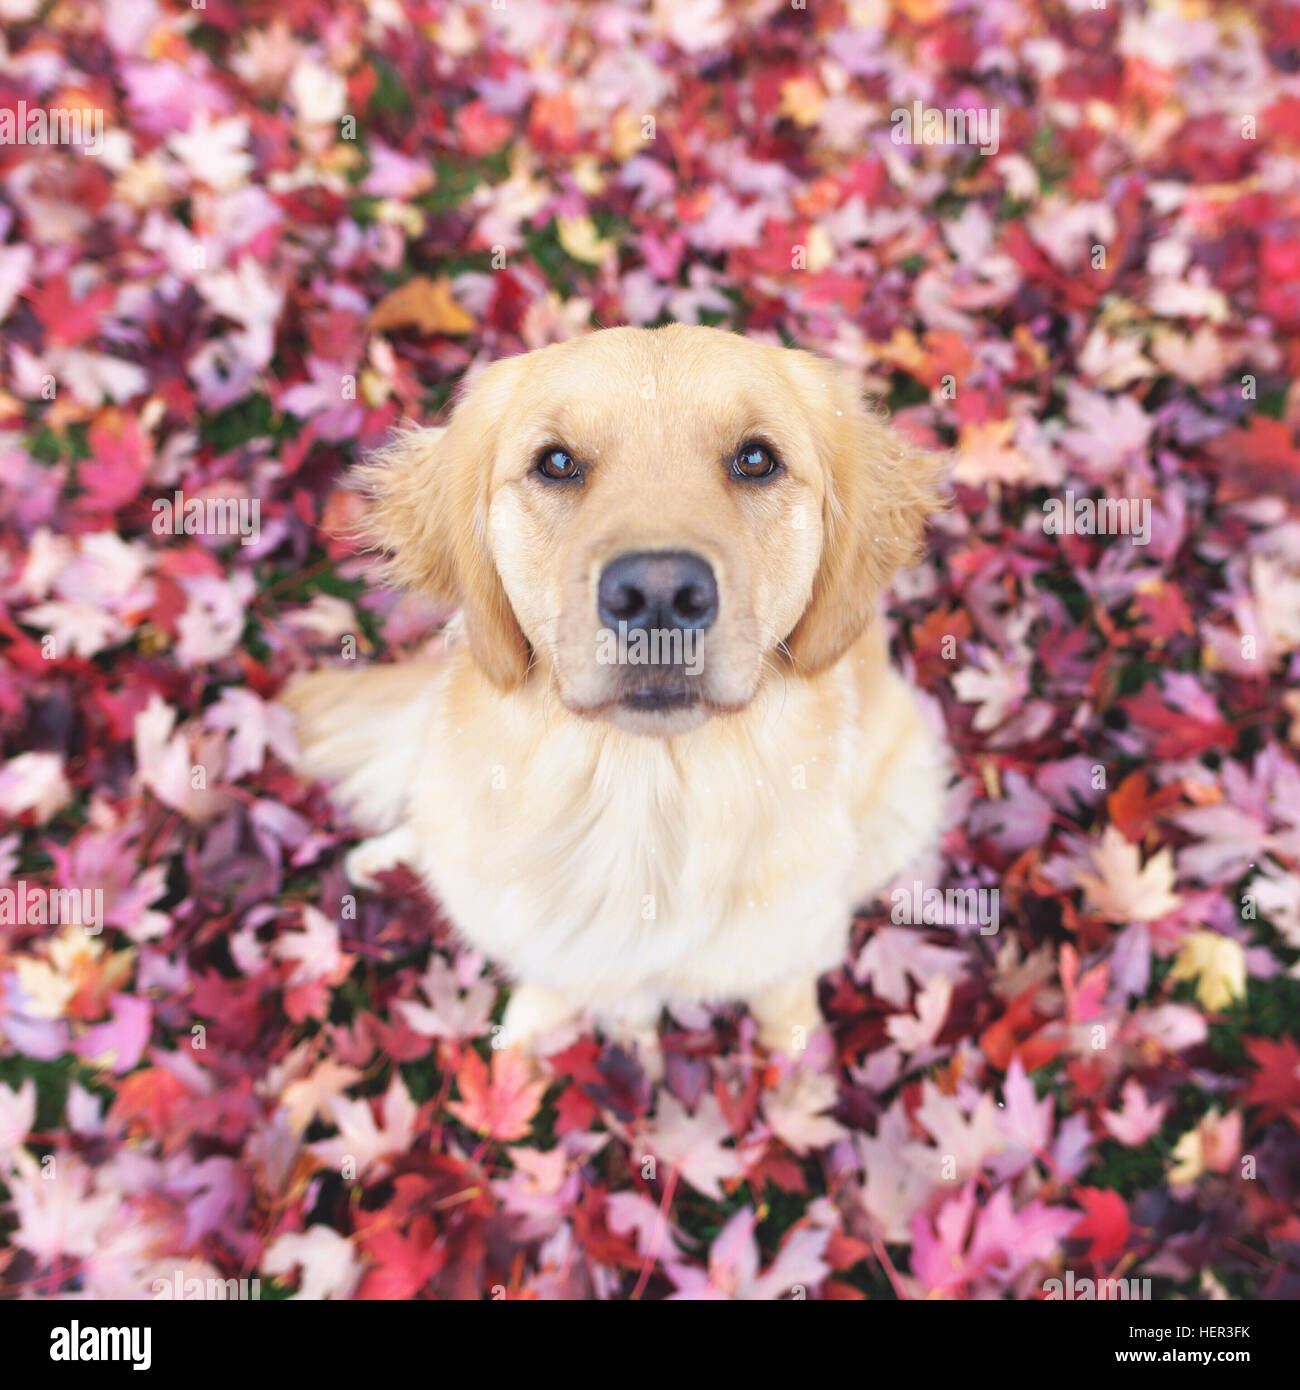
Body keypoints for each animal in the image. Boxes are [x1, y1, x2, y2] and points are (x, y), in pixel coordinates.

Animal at [279, 322, 951, 1050]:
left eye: (755, 459)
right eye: (556, 463)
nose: (659, 596)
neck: (643, 799)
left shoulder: (789, 952)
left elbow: (786, 1020)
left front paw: (797, 1071)